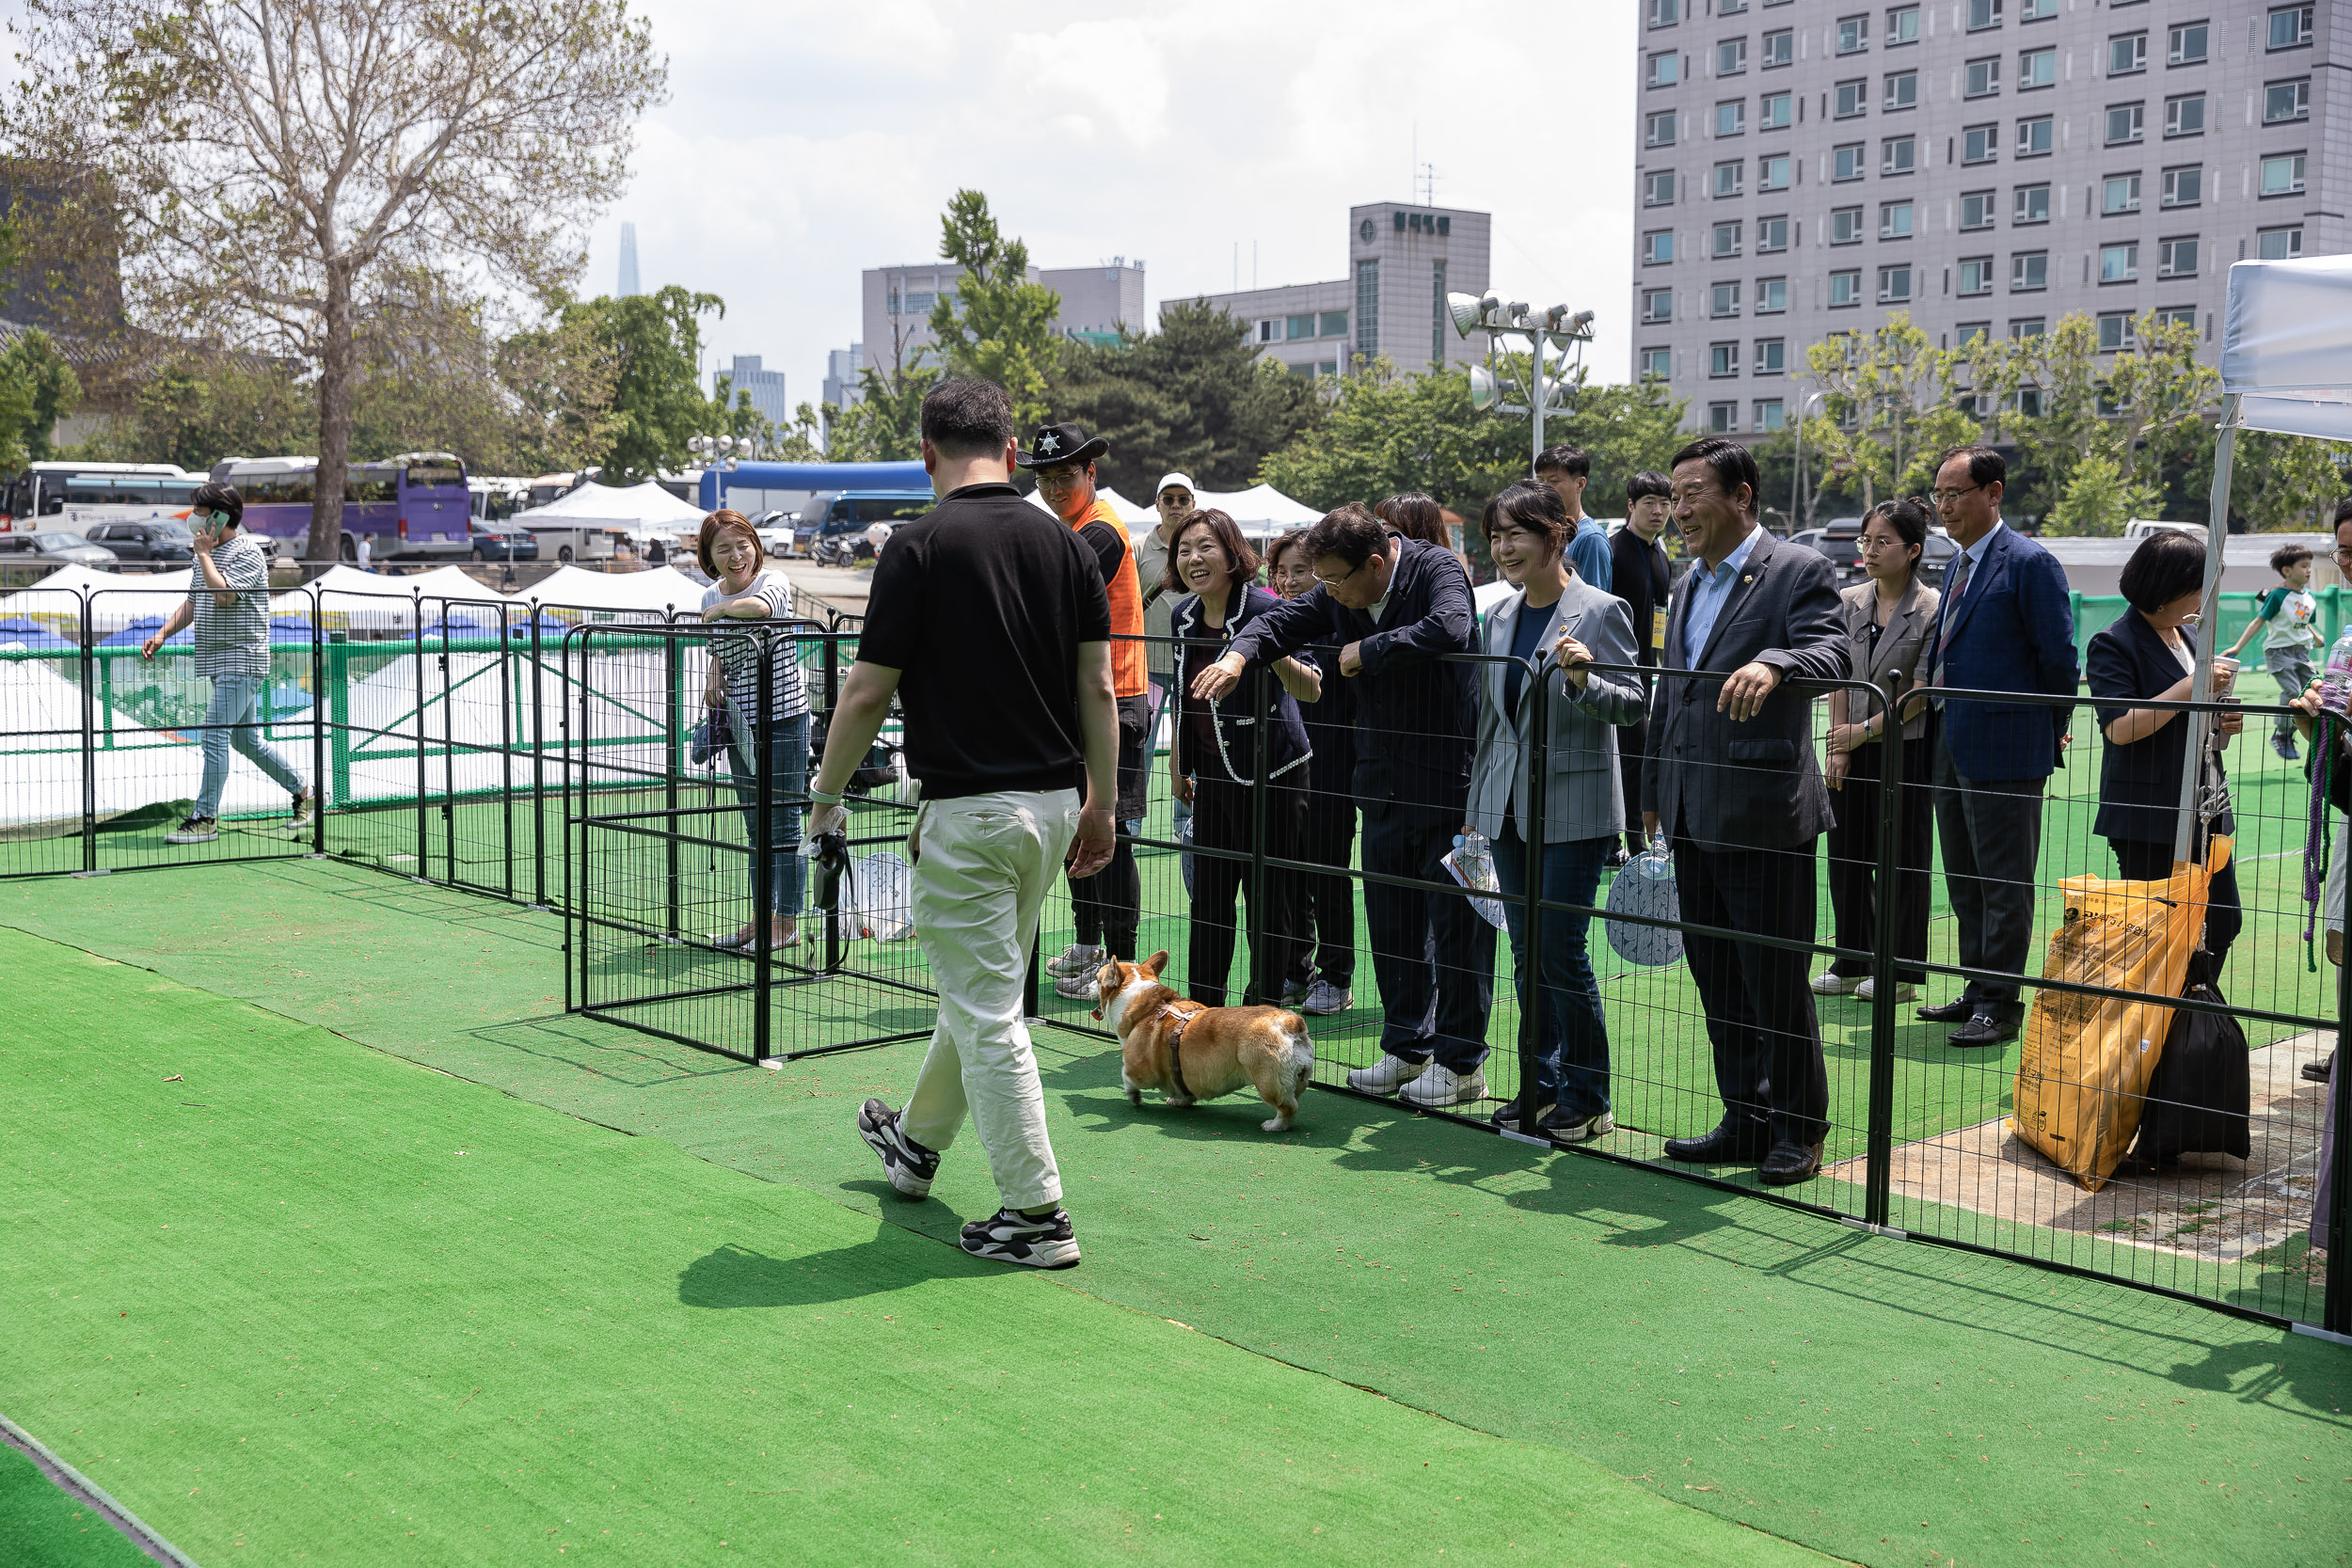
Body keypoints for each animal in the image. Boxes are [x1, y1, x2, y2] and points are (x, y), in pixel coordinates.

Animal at [1091, 949, 1317, 1132]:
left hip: (1268, 1082)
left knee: (1287, 1107)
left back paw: (1274, 1125)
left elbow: (1126, 1075)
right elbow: (1183, 1090)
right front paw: (1179, 1100)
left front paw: (1133, 1095)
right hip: (1298, 1077)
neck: (1149, 1007)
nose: (1089, 984)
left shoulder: (1137, 1068)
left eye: (1097, 978)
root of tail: (1290, 1022)